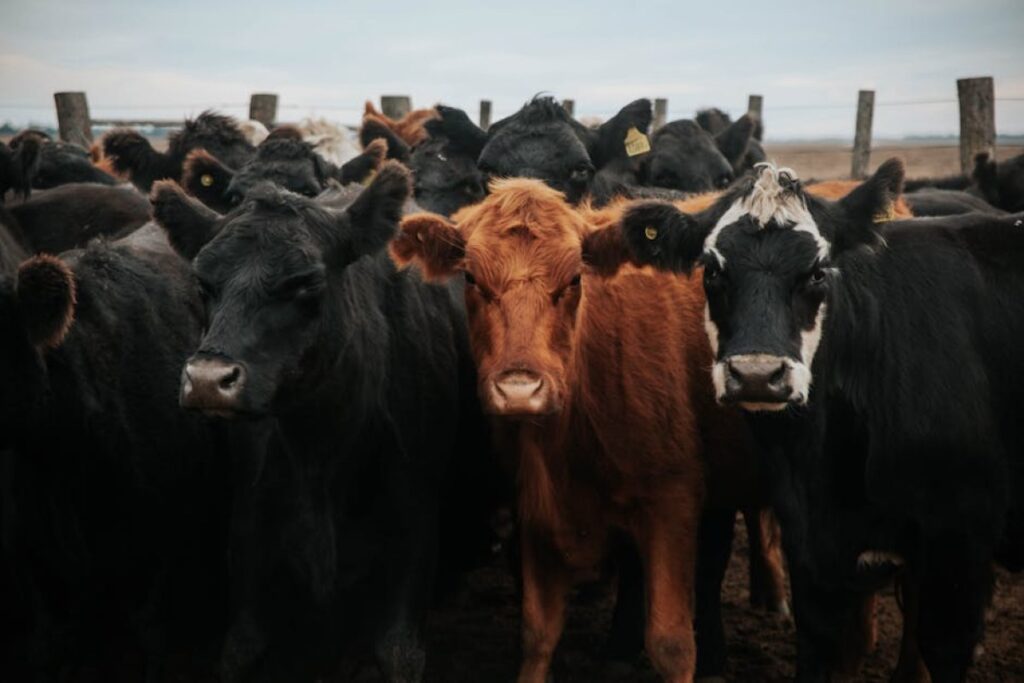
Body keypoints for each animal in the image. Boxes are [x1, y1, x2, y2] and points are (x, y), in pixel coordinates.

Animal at [150, 162, 477, 682]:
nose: (207, 380)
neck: (322, 447)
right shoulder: (249, 530)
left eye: (305, 284)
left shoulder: (413, 524)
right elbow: (241, 649)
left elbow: (398, 654)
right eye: (204, 284)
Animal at [390, 178, 782, 682]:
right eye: (472, 279)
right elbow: (537, 632)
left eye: (575, 279)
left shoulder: (672, 501)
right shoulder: (535, 505)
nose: (520, 390)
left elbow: (672, 642)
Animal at [614, 159, 1024, 681]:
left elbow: (942, 647)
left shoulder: (959, 541)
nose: (756, 375)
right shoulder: (809, 542)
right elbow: (817, 643)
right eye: (712, 270)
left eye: (816, 273)